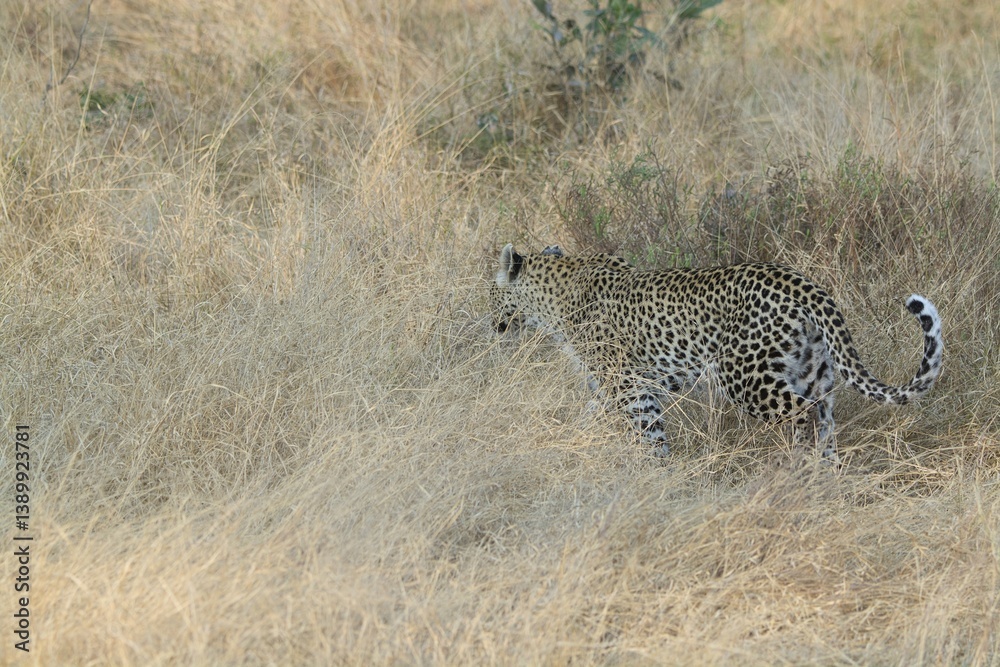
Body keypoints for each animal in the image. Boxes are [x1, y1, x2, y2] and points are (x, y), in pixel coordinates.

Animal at [489, 243, 943, 464]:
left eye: (491, 292)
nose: (489, 322)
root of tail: (804, 283)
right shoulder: (614, 384)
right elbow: (591, 415)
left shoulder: (630, 387)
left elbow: (649, 434)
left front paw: (657, 473)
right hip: (814, 374)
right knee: (826, 422)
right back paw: (825, 478)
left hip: (747, 377)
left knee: (804, 417)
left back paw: (799, 471)